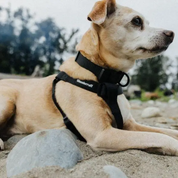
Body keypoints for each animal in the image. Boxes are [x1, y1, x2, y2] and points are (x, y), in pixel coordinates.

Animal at [0, 0, 178, 156]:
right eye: (136, 21)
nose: (171, 34)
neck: (105, 78)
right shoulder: (102, 134)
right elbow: (160, 137)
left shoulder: (129, 123)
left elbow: (166, 132)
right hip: (7, 102)